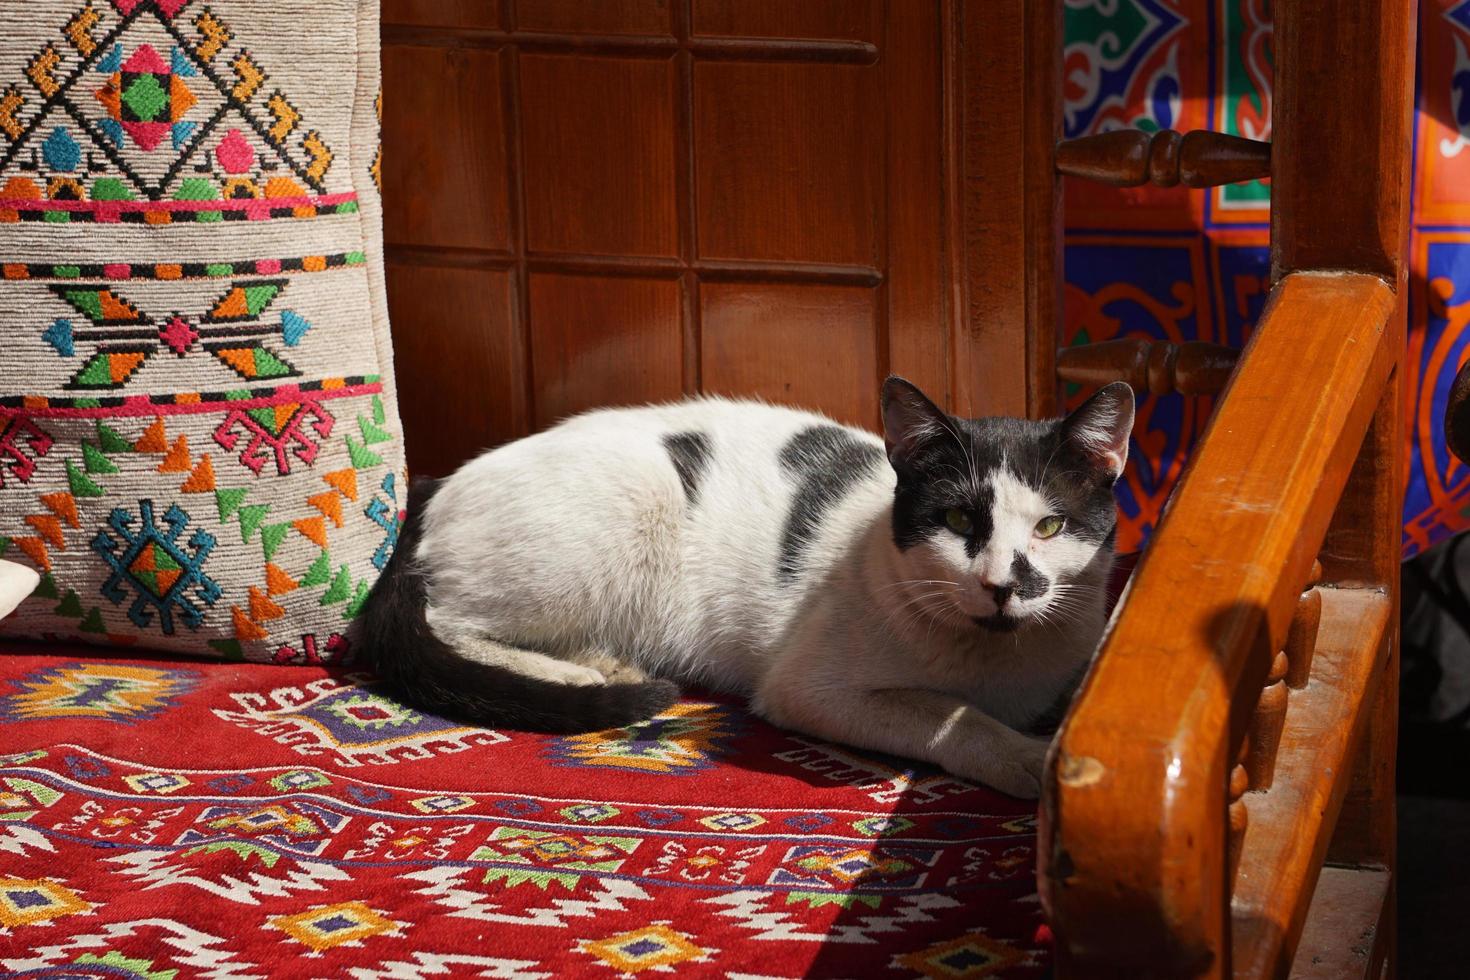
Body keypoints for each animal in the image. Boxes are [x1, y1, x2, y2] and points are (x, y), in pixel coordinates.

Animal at [361, 376, 1128, 799]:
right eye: (961, 519)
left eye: (1051, 525)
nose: (1002, 584)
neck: (997, 660)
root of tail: (434, 485)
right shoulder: (808, 687)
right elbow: (951, 715)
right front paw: (1024, 758)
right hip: (623, 512)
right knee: (449, 622)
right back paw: (572, 675)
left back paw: (603, 661)